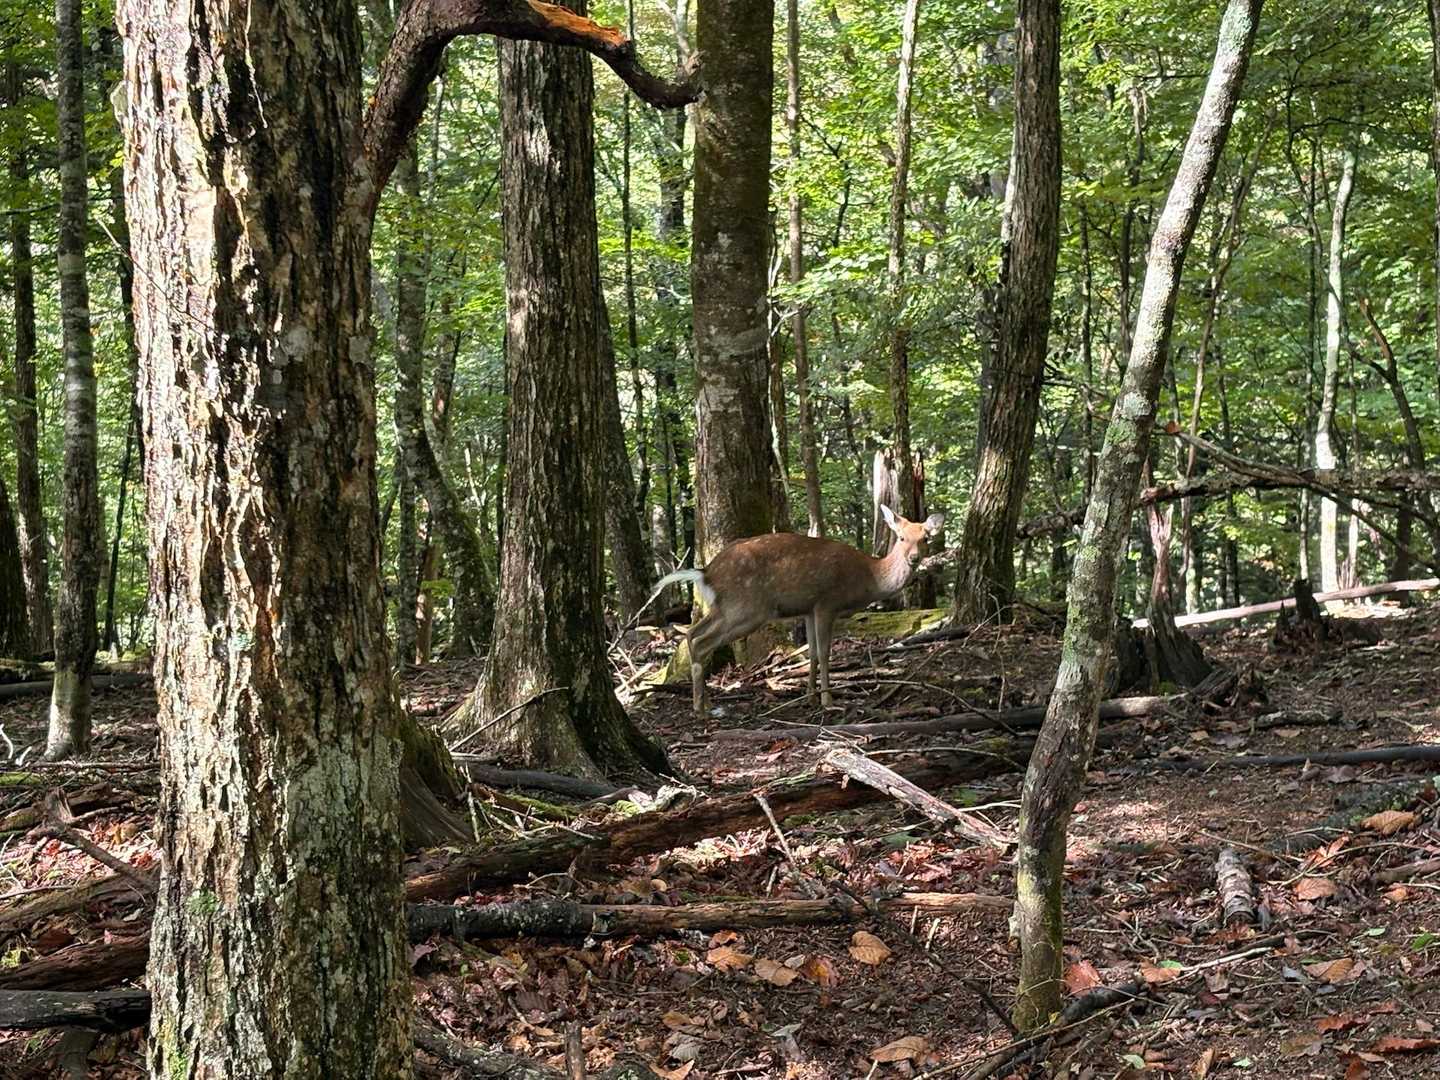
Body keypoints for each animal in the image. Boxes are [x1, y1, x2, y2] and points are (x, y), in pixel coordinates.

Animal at [647, 506, 945, 714]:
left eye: (926, 538)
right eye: (901, 537)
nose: (914, 558)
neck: (869, 577)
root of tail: (706, 573)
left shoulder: (809, 609)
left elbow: (811, 652)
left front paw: (810, 696)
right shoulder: (827, 602)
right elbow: (824, 652)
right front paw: (828, 699)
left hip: (723, 607)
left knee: (692, 633)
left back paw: (706, 702)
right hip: (747, 608)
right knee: (702, 641)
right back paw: (701, 708)